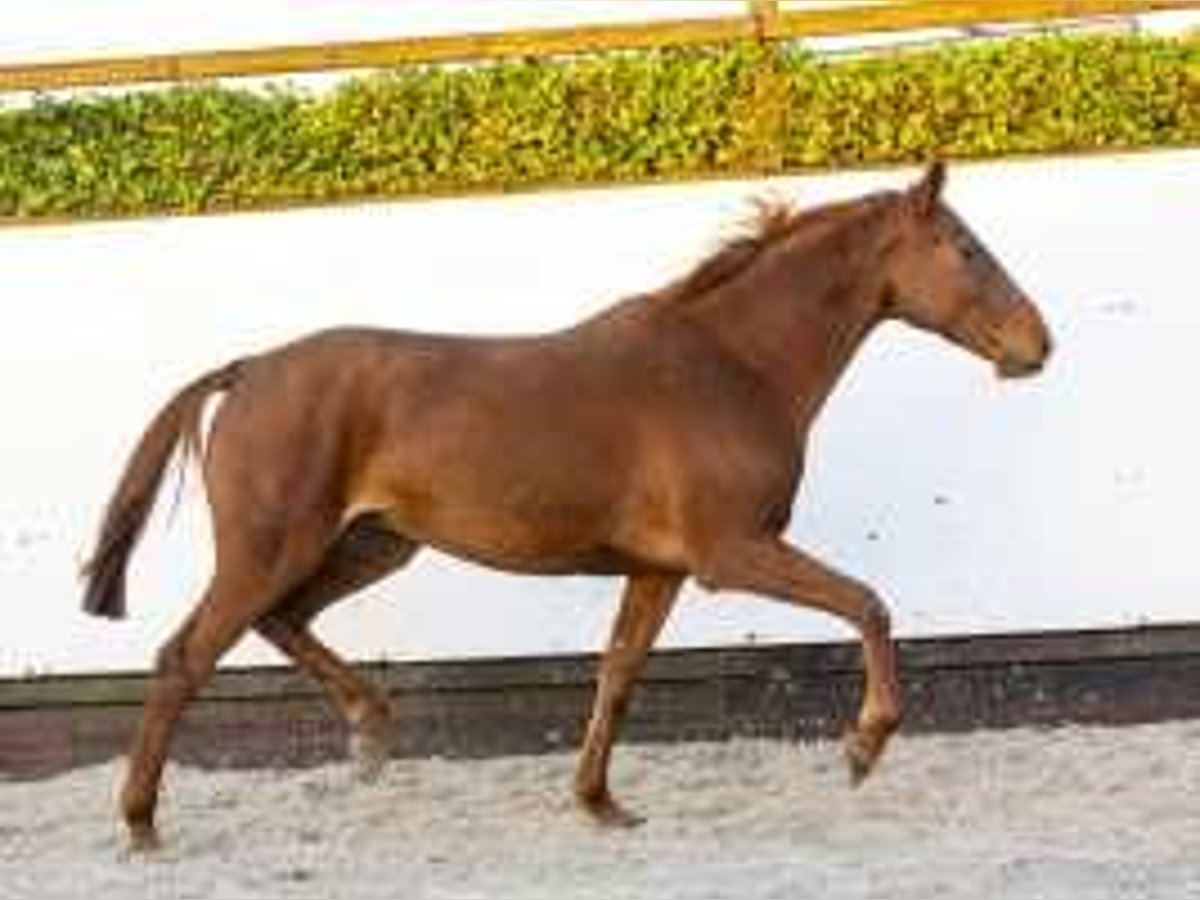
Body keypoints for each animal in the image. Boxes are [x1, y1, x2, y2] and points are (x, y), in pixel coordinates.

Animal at [82, 164, 1051, 854]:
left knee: (281, 622)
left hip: (370, 544)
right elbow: (868, 604)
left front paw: (600, 805)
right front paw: (864, 745)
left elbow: (617, 676)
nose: (1038, 344)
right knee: (184, 657)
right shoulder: (730, 553)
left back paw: (370, 734)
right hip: (274, 546)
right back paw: (142, 823)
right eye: (966, 249)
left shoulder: (658, 570)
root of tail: (247, 369)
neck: (731, 366)